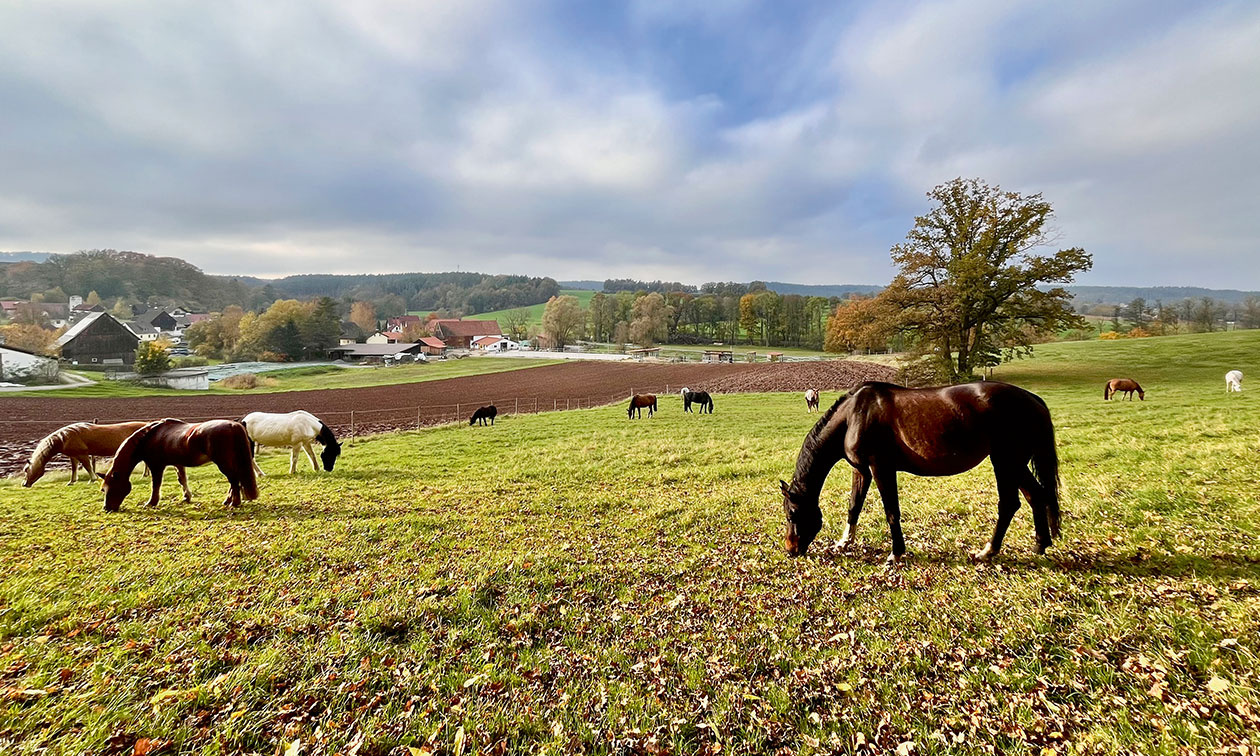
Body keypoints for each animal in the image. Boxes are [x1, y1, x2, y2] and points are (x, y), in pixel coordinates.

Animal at [22, 418, 189, 501]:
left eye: (26, 470)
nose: (24, 484)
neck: (64, 438)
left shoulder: (82, 454)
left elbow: (88, 466)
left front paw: (92, 479)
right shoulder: (73, 455)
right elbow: (74, 468)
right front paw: (72, 481)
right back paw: (145, 475)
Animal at [101, 415, 258, 511]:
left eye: (112, 487)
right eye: (103, 489)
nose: (107, 508)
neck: (149, 436)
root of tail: (234, 425)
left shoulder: (156, 466)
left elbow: (156, 484)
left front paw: (151, 502)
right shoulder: (178, 463)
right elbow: (182, 479)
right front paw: (186, 497)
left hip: (224, 463)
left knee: (234, 480)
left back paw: (234, 502)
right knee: (235, 481)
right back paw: (229, 500)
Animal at [776, 383, 1063, 561]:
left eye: (792, 514)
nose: (790, 549)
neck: (854, 415)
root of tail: (1033, 400)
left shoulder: (880, 468)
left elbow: (891, 510)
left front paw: (896, 553)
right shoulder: (862, 471)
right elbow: (854, 506)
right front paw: (844, 542)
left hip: (1005, 461)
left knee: (1009, 504)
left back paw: (987, 551)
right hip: (1015, 463)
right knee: (1035, 496)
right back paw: (1040, 544)